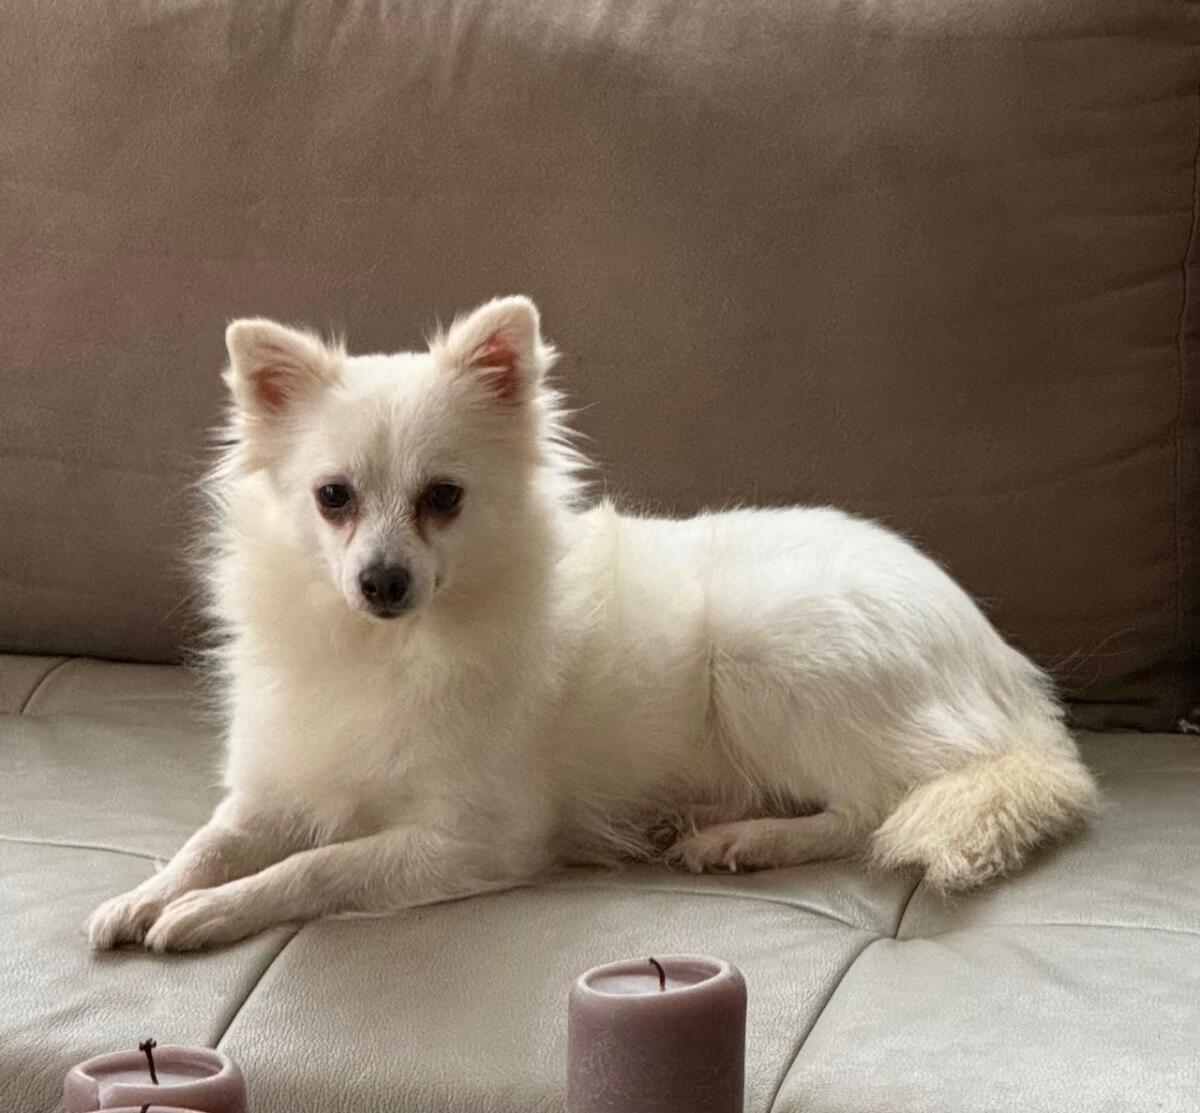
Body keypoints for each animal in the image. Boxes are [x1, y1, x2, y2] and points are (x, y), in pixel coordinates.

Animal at [88, 296, 1099, 952]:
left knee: (874, 804)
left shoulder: (472, 838)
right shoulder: (275, 789)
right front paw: (146, 895)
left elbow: (320, 867)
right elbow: (210, 841)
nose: (381, 581)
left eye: (442, 498)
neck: (387, 647)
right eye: (332, 498)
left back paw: (749, 839)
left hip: (767, 648)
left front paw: (212, 911)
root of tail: (1010, 679)